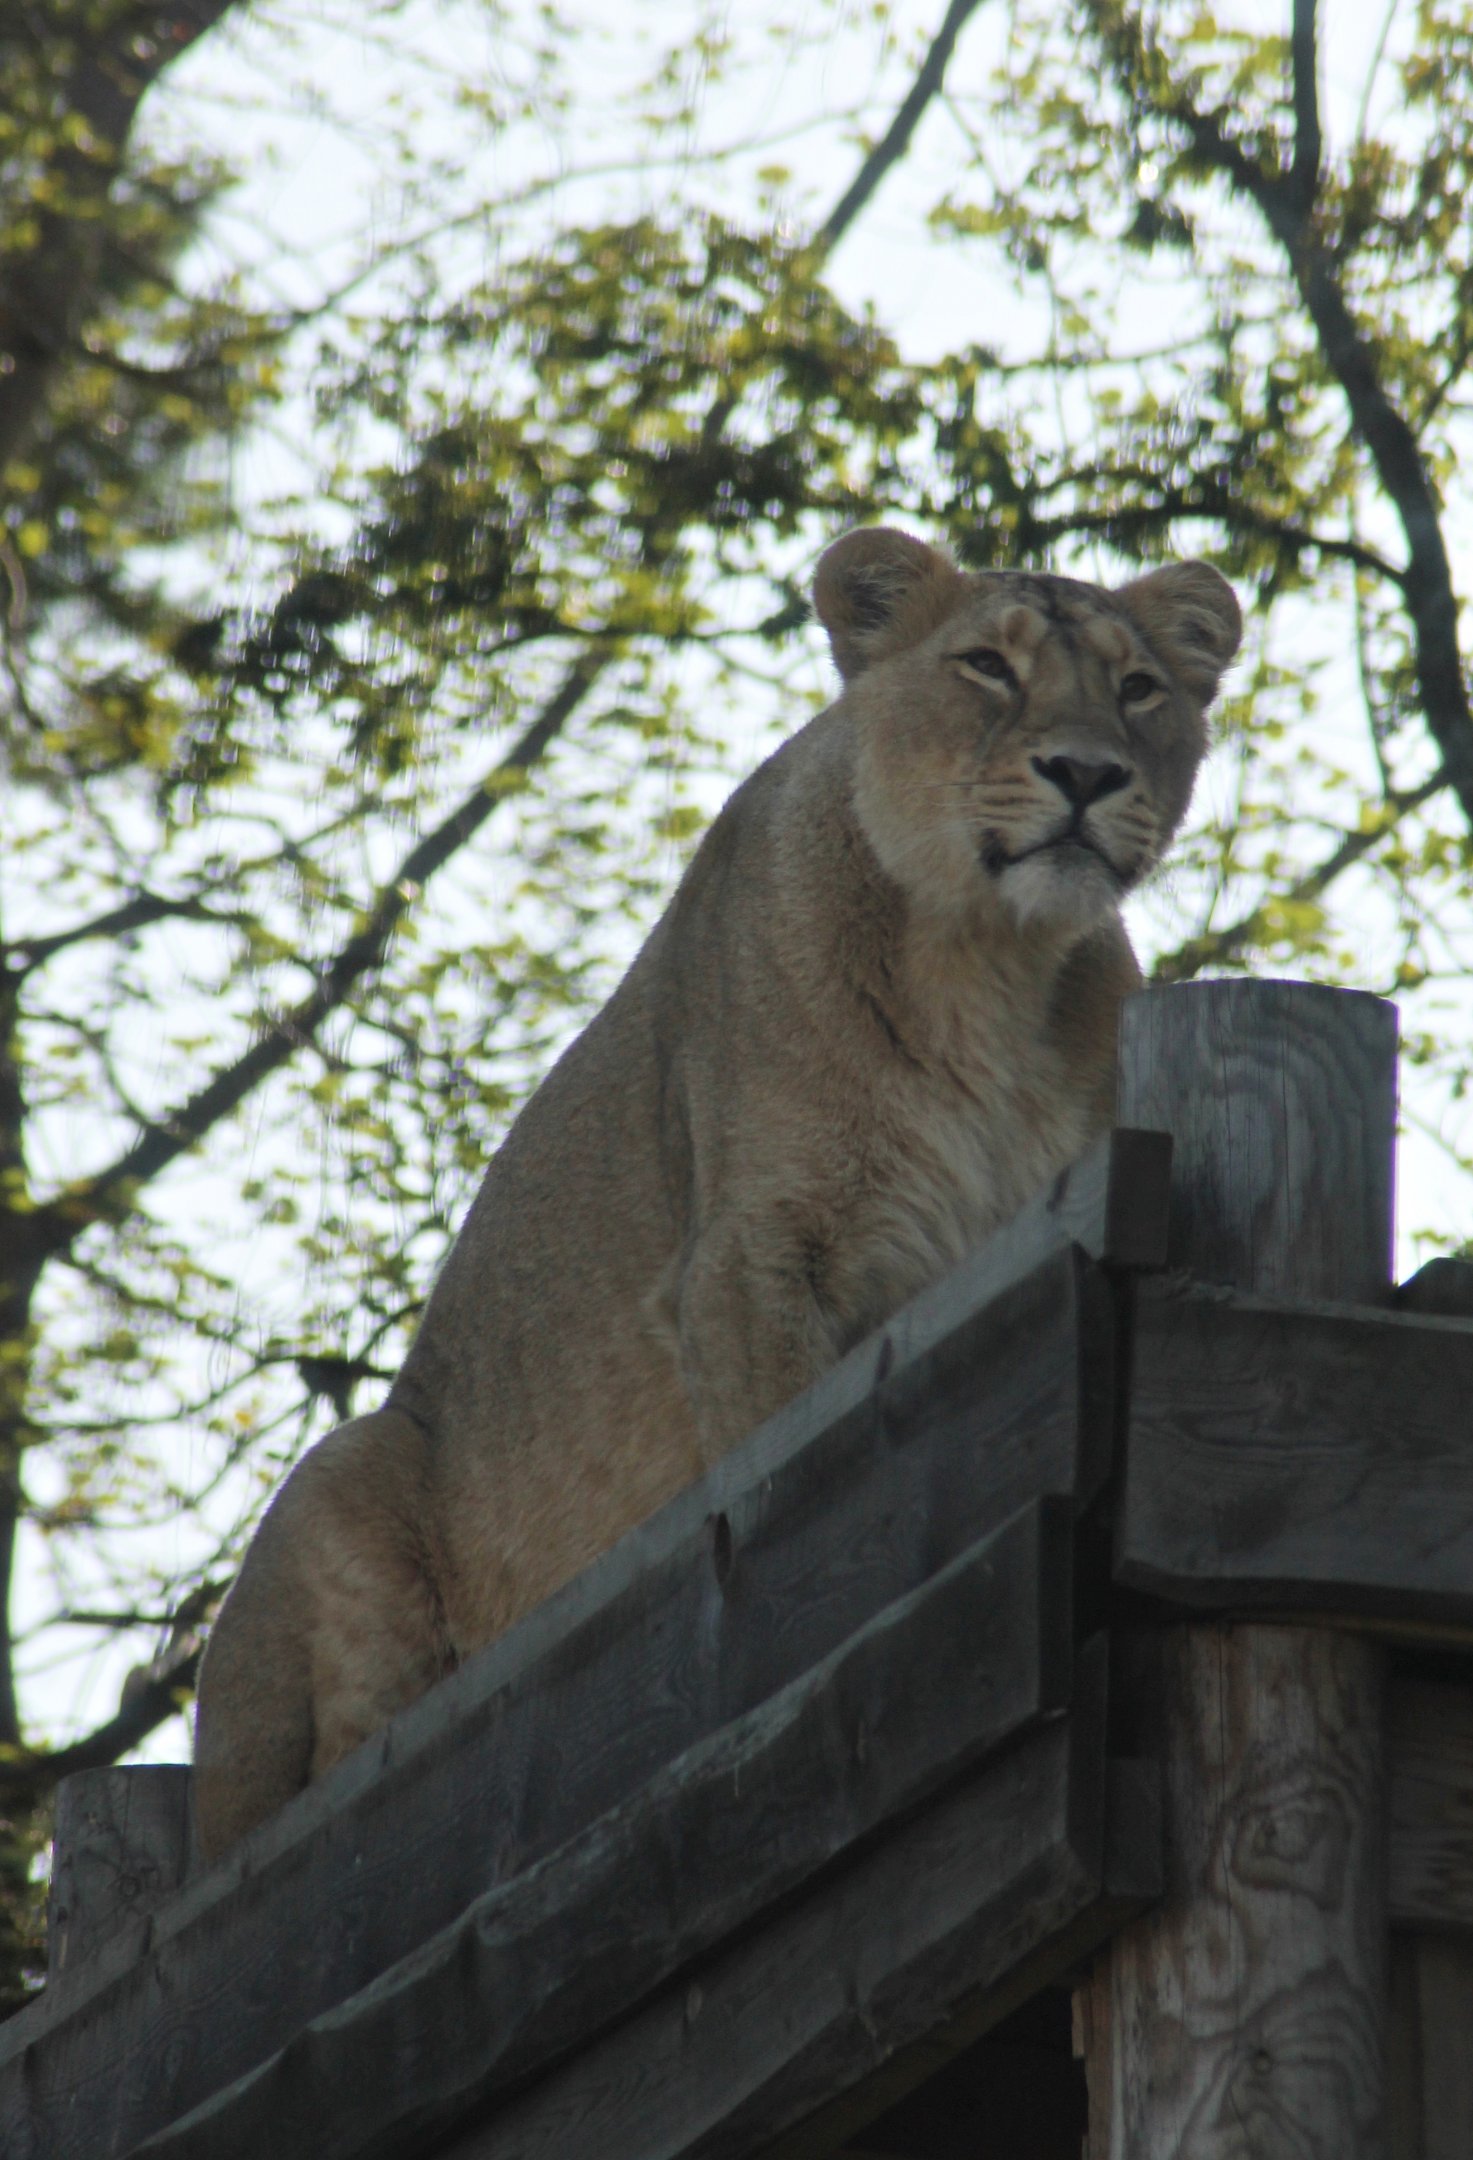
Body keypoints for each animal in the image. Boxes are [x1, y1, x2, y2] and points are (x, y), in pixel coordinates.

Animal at [193, 525, 1240, 1857]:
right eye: (985, 668)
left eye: (1140, 687)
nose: (1087, 772)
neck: (986, 965)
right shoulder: (749, 1261)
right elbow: (783, 1463)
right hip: (346, 1490)